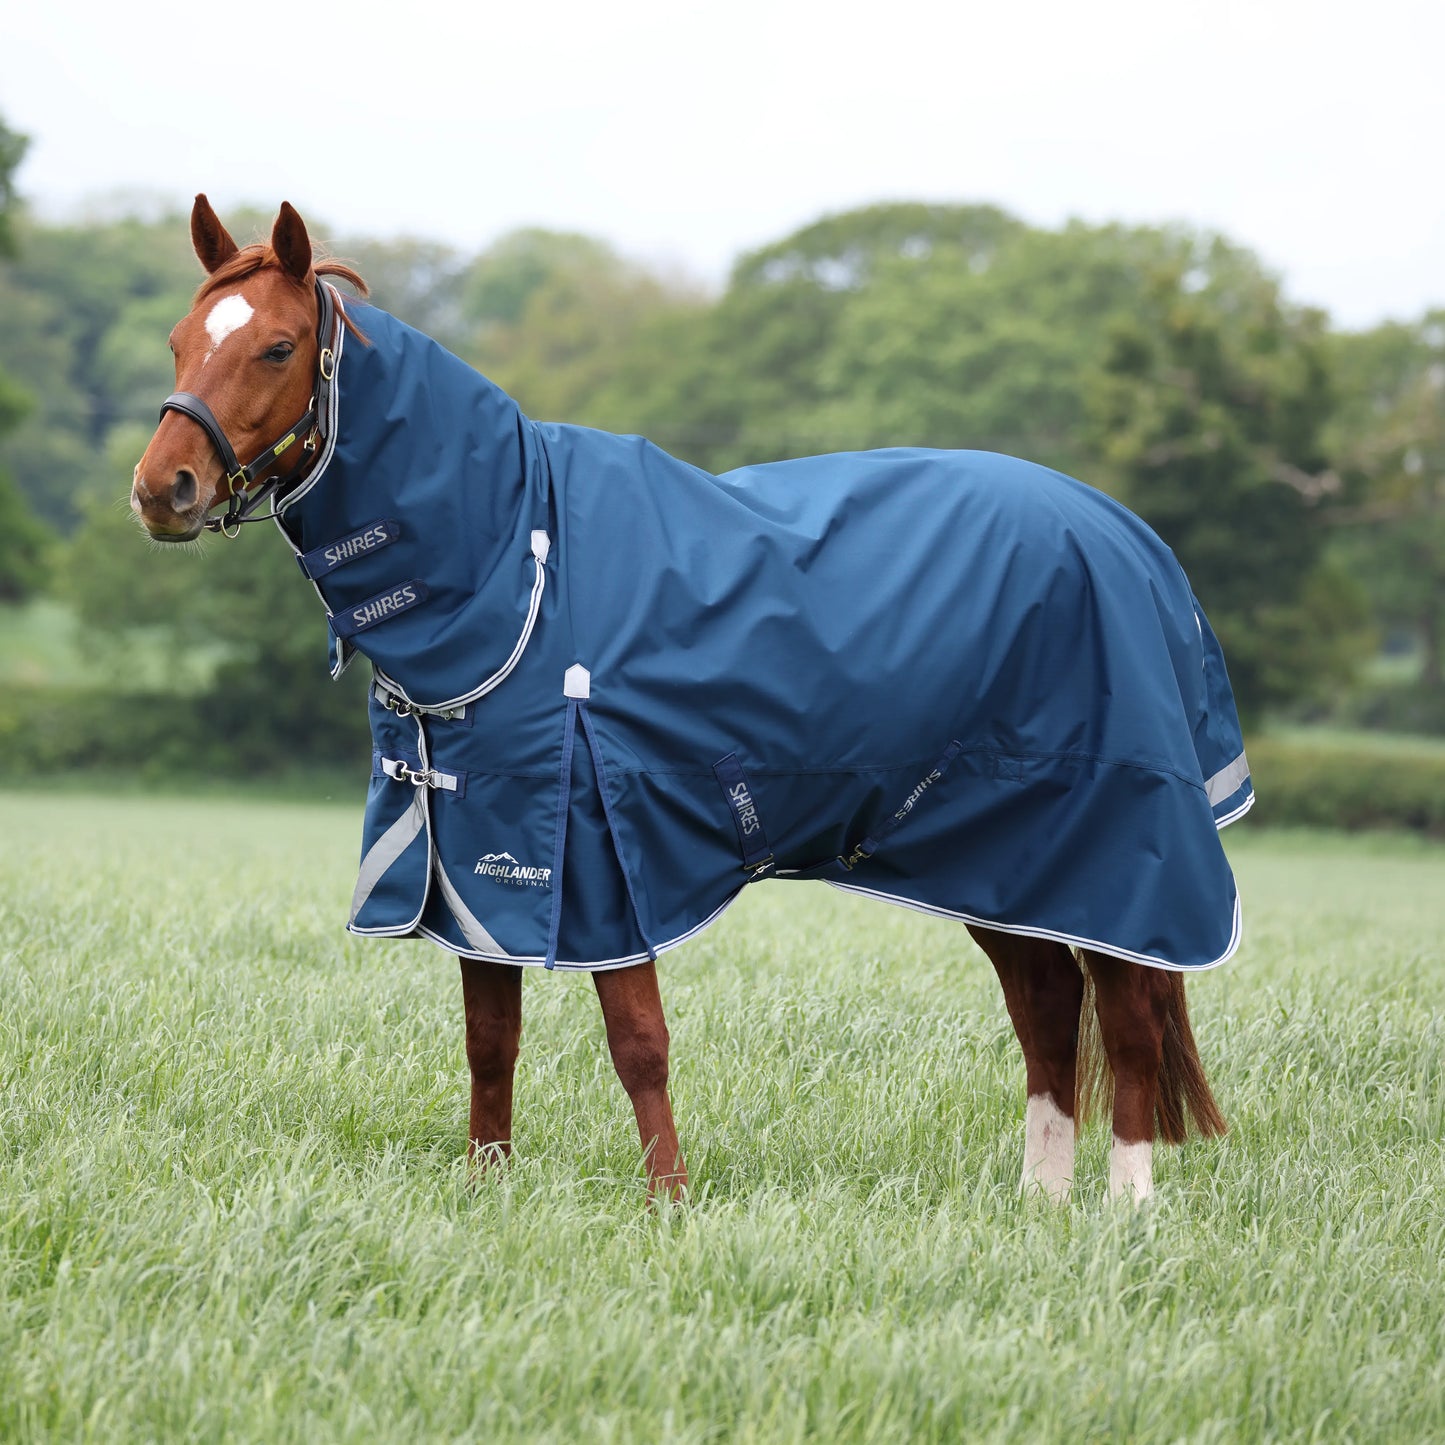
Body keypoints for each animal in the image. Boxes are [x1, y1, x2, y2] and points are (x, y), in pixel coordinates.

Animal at [132, 196, 1242, 1203]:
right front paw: (488, 1193)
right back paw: (1039, 1202)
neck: (515, 560)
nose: (161, 489)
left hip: (1115, 845)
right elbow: (490, 1040)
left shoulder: (605, 858)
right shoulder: (479, 866)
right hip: (998, 859)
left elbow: (638, 1041)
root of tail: (1126, 535)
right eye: (182, 339)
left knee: (1126, 1020)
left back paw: (1126, 1210)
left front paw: (667, 1200)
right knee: (1047, 1004)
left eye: (277, 347)